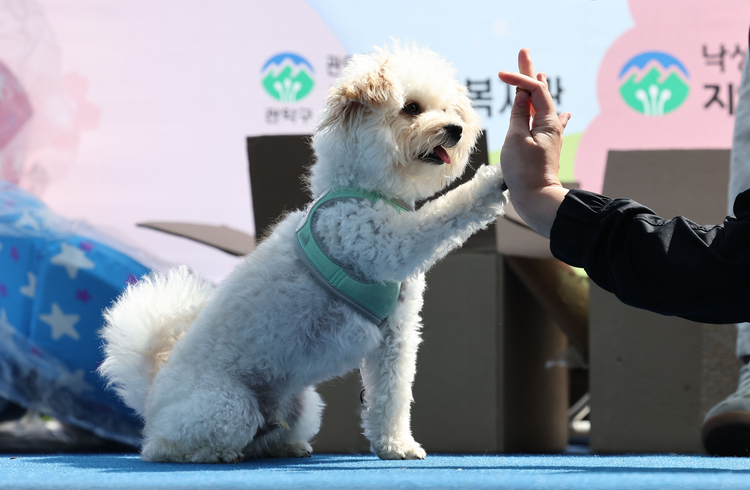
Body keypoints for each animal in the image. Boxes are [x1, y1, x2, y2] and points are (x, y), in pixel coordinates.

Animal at [100, 43, 508, 464]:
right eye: (411, 107)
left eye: (446, 109)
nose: (456, 130)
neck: (361, 189)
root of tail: (152, 395)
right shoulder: (379, 241)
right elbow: (442, 211)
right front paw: (493, 181)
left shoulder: (396, 335)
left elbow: (392, 395)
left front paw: (396, 445)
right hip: (227, 406)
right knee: (164, 447)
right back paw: (213, 453)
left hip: (304, 405)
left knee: (268, 435)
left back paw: (286, 446)